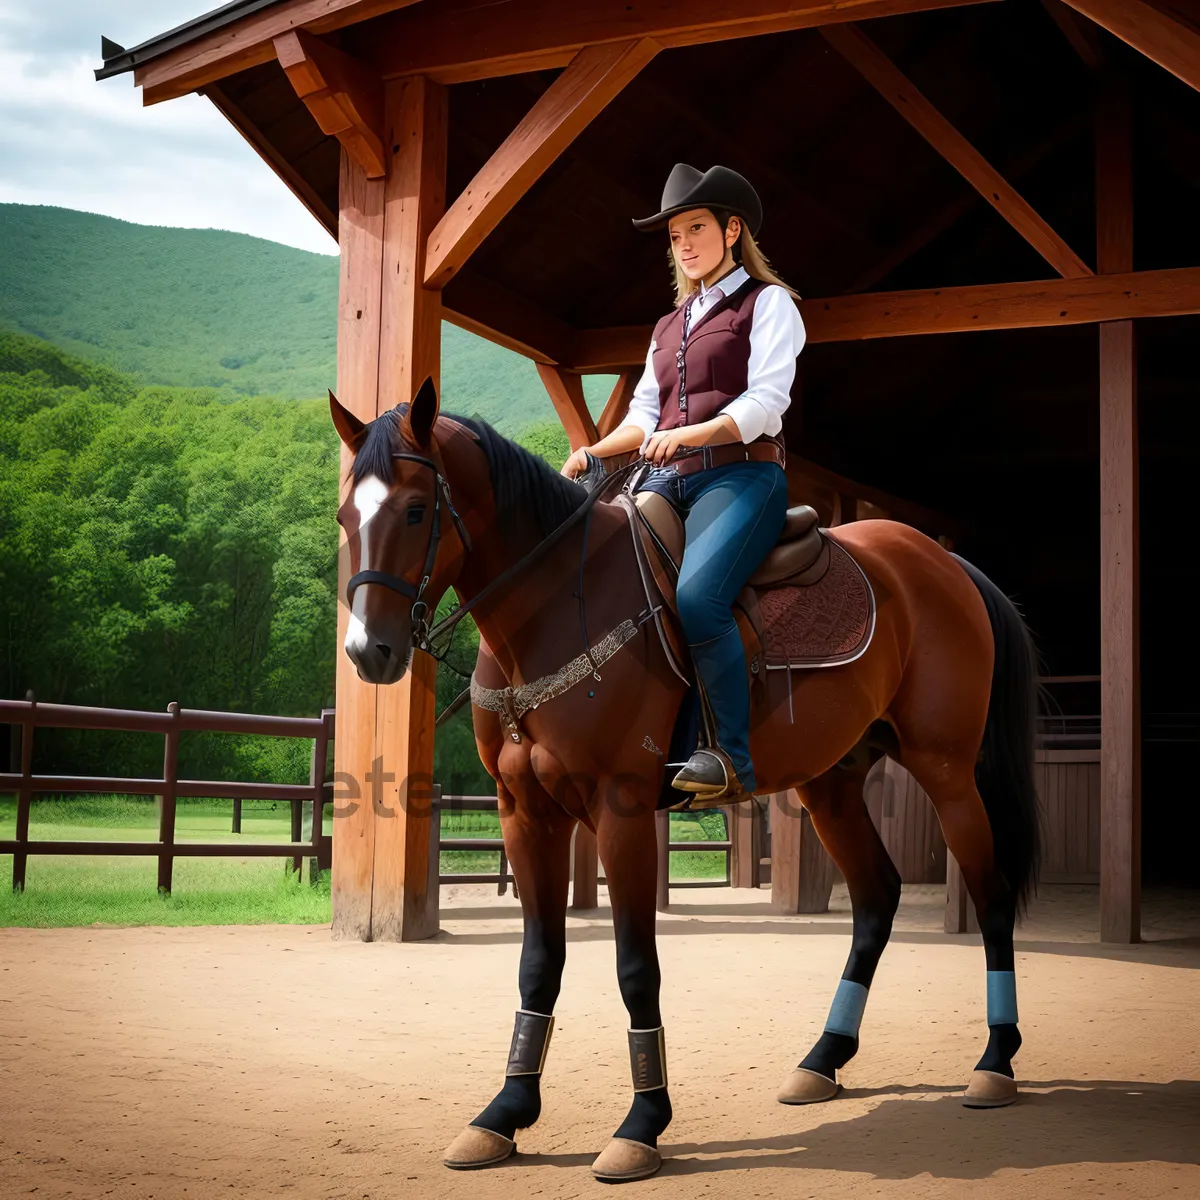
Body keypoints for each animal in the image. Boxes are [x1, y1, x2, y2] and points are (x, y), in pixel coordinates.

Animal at [328, 381, 1041, 1180]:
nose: (369, 650)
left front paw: (643, 1122)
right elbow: (539, 963)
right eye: (346, 515)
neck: (555, 608)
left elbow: (637, 967)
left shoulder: (624, 813)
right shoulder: (525, 813)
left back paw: (995, 1062)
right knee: (876, 899)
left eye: (417, 510)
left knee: (991, 896)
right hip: (831, 784)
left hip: (947, 771)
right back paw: (824, 1059)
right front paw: (504, 1113)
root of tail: (945, 564)